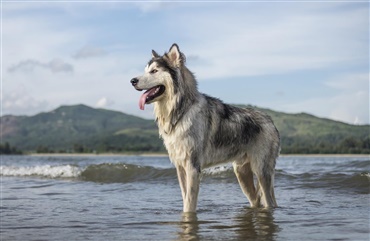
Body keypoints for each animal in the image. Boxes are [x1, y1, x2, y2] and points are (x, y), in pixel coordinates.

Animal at [132, 43, 278, 213]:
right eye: (145, 71)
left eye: (154, 71)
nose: (132, 81)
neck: (182, 111)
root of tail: (270, 120)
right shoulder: (180, 168)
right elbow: (185, 199)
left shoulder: (193, 167)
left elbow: (189, 203)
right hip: (242, 174)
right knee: (256, 201)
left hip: (261, 172)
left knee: (269, 201)